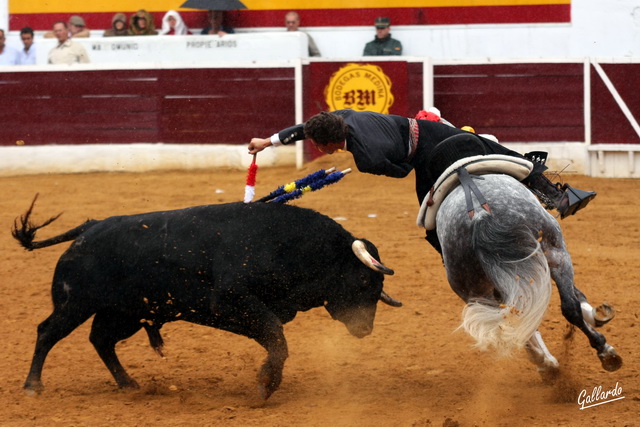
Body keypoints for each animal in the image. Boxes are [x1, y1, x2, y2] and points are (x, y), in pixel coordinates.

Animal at [12, 199, 400, 400]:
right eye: (364, 279)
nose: (365, 329)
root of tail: (89, 228)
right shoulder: (231, 302)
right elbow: (276, 337)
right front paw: (265, 386)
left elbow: (275, 339)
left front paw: (266, 381)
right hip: (74, 303)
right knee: (47, 332)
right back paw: (33, 386)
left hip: (123, 313)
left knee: (101, 340)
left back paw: (128, 383)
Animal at [430, 166, 620, 380]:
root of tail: (479, 215)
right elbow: (575, 296)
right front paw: (597, 315)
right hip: (555, 250)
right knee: (569, 306)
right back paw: (602, 352)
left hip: (476, 291)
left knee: (512, 322)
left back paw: (549, 364)